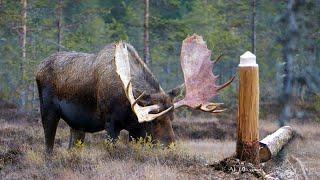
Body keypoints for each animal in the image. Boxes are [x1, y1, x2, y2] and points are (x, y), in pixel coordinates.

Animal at [36, 34, 234, 154]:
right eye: (154, 121)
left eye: (172, 118)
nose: (170, 147)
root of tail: (38, 68)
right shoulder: (111, 123)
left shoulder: (134, 129)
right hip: (48, 111)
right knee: (48, 146)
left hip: (77, 125)